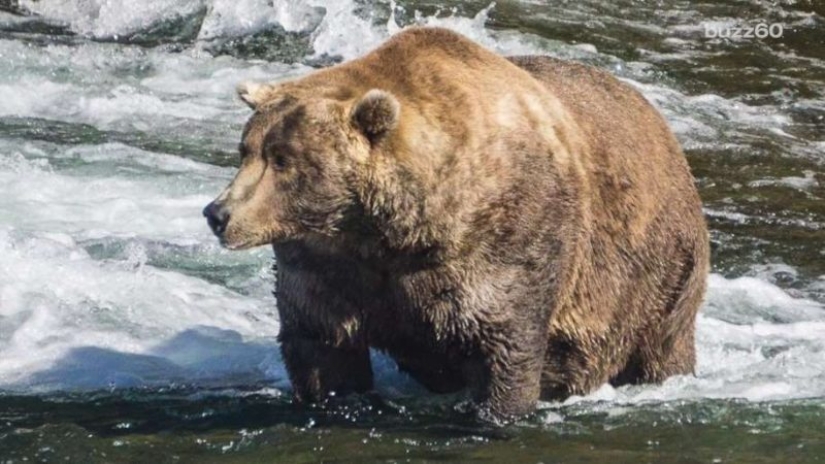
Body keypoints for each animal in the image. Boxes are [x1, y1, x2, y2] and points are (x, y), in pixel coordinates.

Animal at [203, 27, 709, 421]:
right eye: (246, 149)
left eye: (283, 160)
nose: (218, 214)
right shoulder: (328, 263)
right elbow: (320, 343)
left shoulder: (508, 240)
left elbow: (505, 343)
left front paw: (497, 413)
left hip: (659, 276)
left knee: (660, 347)